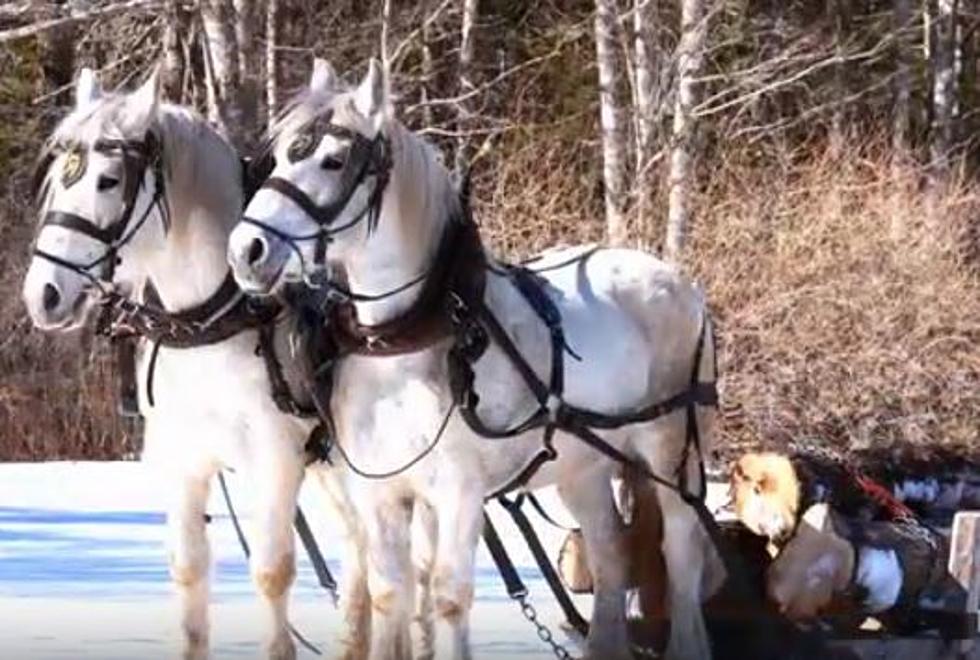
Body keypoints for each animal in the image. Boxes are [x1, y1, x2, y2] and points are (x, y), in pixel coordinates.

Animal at [23, 67, 376, 660]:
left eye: (108, 180)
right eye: (58, 180)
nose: (43, 294)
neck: (209, 324)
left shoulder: (275, 461)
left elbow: (272, 573)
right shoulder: (182, 462)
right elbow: (188, 573)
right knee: (362, 549)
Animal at [230, 59, 720, 656]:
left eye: (334, 159)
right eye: (279, 157)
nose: (246, 251)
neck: (405, 342)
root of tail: (682, 283)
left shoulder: (459, 492)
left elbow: (447, 597)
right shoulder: (380, 493)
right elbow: (390, 593)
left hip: (672, 449)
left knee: (682, 553)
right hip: (583, 465)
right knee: (610, 556)